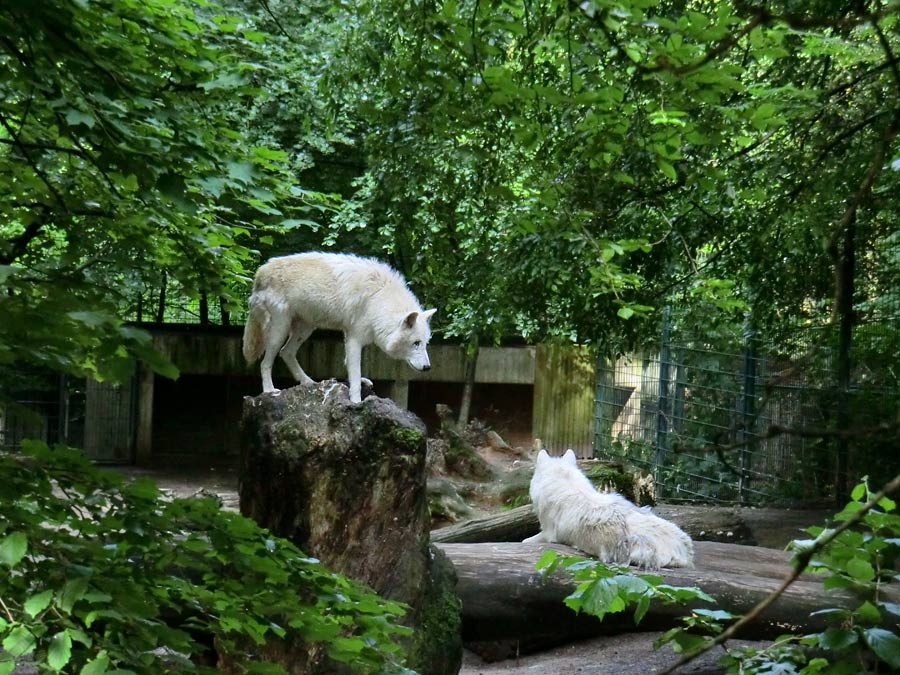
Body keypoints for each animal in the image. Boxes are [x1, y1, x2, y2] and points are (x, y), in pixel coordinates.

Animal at [239, 252, 436, 402]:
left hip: (305, 329)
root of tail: (260, 273)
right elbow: (355, 371)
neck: (378, 298)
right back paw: (269, 390)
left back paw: (308, 382)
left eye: (425, 343)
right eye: (416, 343)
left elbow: (350, 365)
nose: (428, 368)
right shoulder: (355, 338)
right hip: (280, 330)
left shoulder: (350, 336)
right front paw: (356, 401)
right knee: (266, 362)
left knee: (286, 352)